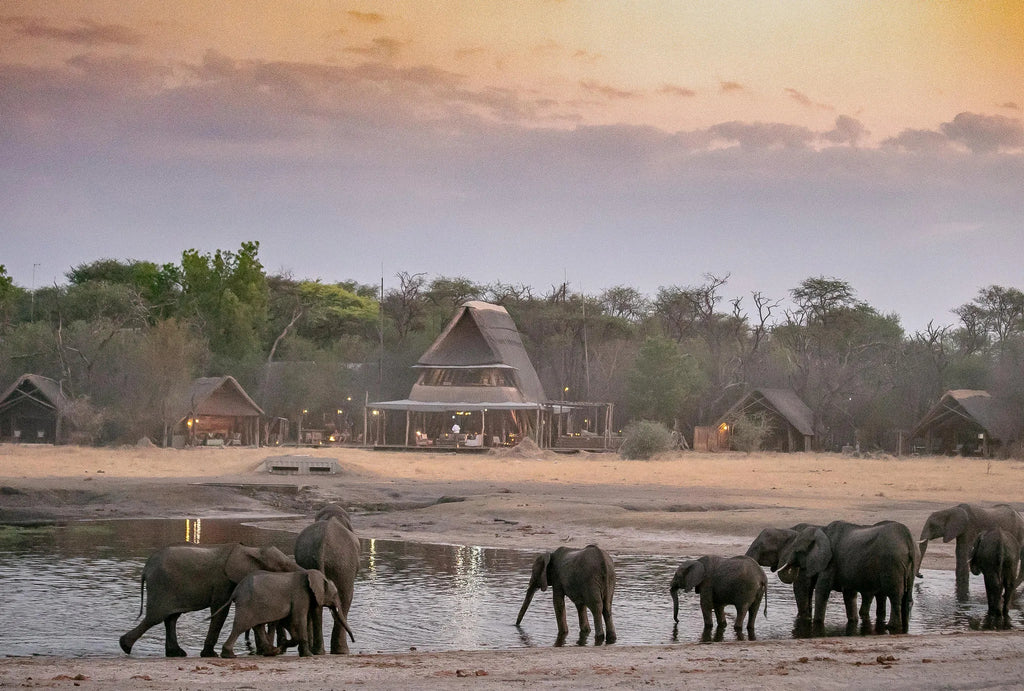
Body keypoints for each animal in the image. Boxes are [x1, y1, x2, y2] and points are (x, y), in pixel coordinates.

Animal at [119, 543, 300, 657]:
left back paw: (175, 653)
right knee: (154, 617)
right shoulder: (222, 581)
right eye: (283, 568)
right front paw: (210, 655)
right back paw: (125, 646)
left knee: (170, 618)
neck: (252, 549)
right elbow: (220, 612)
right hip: (161, 585)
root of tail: (146, 568)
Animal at [218, 568, 354, 658]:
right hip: (247, 604)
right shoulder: (300, 595)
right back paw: (229, 655)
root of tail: (235, 592)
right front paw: (308, 655)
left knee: (258, 626)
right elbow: (299, 619)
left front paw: (284, 645)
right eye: (335, 594)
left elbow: (291, 622)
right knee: (240, 626)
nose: (353, 641)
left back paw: (272, 652)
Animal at [294, 506, 360, 654]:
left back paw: (317, 651)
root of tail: (322, 544)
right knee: (345, 598)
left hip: (309, 561)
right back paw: (340, 651)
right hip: (343, 565)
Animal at [779, 520, 916, 633]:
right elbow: (849, 594)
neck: (821, 529)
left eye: (798, 551)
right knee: (905, 596)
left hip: (892, 563)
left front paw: (816, 623)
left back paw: (891, 627)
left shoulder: (830, 563)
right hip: (908, 567)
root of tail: (908, 539)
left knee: (895, 596)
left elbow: (822, 590)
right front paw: (853, 621)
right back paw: (903, 628)